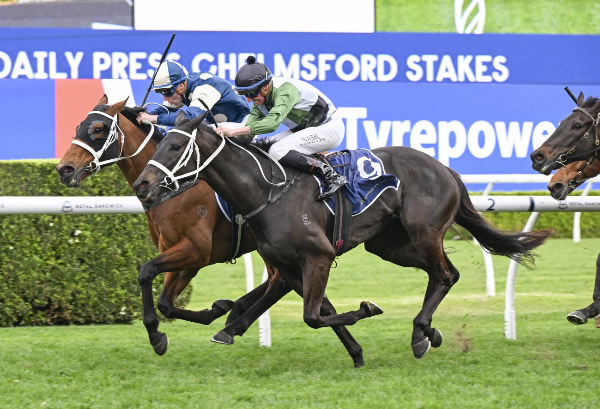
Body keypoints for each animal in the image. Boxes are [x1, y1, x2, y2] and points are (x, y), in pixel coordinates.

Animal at [57, 96, 366, 366]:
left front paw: (158, 335)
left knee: (280, 281)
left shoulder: (196, 251)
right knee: (285, 283)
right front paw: (214, 310)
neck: (178, 187)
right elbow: (165, 302)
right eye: (78, 126)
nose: (64, 169)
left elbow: (146, 272)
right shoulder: (180, 254)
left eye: (98, 129)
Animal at [132, 113, 552, 358]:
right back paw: (427, 332)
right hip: (390, 245)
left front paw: (367, 311)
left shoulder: (317, 255)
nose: (142, 185)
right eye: (160, 142)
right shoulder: (290, 264)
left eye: (174, 145)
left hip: (423, 231)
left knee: (446, 274)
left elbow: (313, 316)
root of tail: (445, 169)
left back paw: (420, 332)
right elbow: (317, 311)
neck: (267, 190)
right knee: (443, 273)